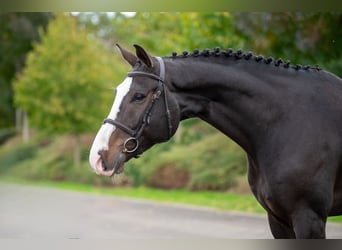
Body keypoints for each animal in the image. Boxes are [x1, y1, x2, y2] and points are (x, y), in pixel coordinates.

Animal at [89, 44, 342, 238]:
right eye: (116, 92)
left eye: (139, 96)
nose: (97, 157)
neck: (288, 121)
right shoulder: (278, 219)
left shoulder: (308, 218)